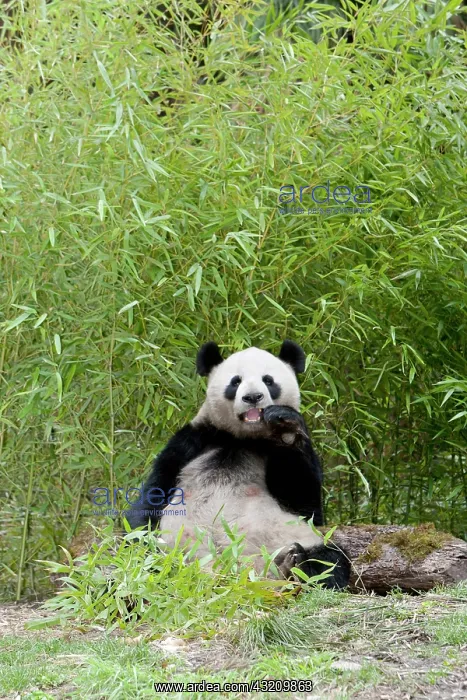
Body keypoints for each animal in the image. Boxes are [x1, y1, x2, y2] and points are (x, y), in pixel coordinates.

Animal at [128, 340, 350, 589]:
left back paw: (294, 563)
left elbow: (306, 504)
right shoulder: (193, 442)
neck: (243, 438)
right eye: (236, 382)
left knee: (330, 559)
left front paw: (286, 425)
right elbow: (154, 494)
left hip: (290, 537)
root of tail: (234, 571)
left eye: (268, 380)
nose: (252, 397)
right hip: (175, 547)